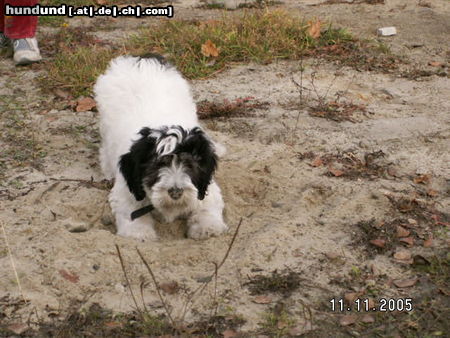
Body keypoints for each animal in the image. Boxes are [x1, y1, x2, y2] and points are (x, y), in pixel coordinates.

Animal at [95, 54, 229, 240]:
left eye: (190, 165)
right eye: (157, 166)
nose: (176, 192)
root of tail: (141, 58)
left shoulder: (203, 187)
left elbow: (207, 205)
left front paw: (207, 227)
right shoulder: (128, 186)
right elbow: (131, 209)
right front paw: (139, 232)